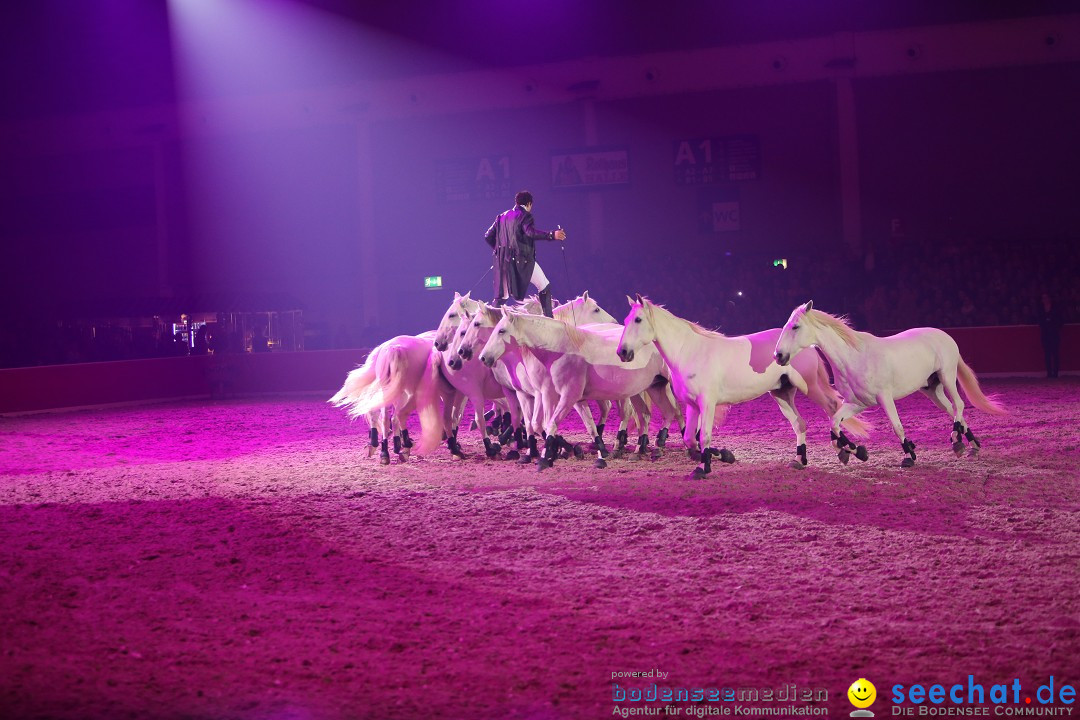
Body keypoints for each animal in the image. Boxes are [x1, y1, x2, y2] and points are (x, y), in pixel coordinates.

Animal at [481, 306, 682, 470]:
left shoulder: (566, 396)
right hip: (650, 387)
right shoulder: (569, 398)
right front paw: (598, 455)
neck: (561, 350)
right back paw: (646, 448)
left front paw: (547, 458)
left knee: (676, 411)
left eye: (501, 330)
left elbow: (550, 424)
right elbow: (587, 427)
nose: (483, 357)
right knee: (657, 414)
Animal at [617, 293, 842, 479]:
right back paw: (799, 461)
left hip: (810, 386)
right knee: (800, 424)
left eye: (638, 320)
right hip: (782, 394)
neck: (690, 351)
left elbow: (704, 436)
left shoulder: (707, 404)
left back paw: (845, 451)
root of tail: (808, 344)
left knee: (832, 407)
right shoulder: (692, 405)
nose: (622, 352)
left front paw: (703, 468)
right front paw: (721, 455)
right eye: (626, 321)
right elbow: (690, 438)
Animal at [777, 302, 1002, 468]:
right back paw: (970, 445)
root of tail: (945, 335)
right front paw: (854, 451)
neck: (854, 358)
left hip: (947, 376)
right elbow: (834, 424)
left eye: (795, 326)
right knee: (953, 410)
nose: (778, 356)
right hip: (932, 390)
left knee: (959, 405)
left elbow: (897, 427)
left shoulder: (884, 398)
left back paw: (957, 441)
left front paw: (909, 456)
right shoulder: (857, 404)